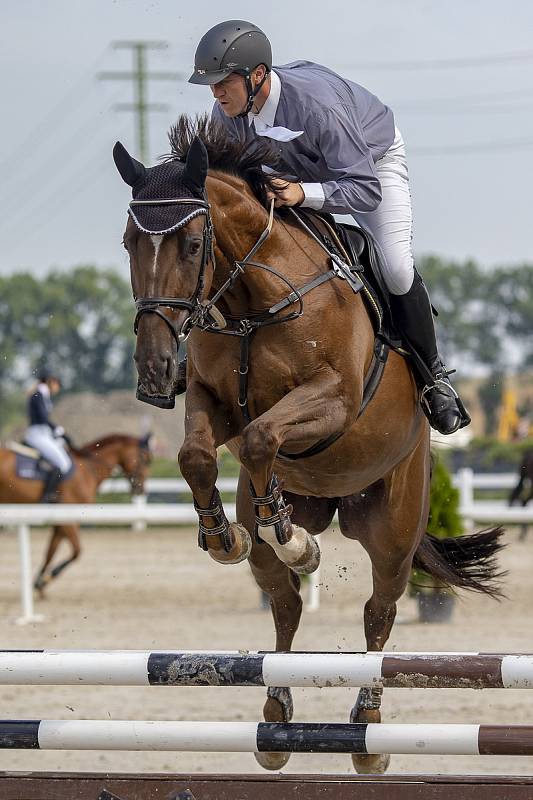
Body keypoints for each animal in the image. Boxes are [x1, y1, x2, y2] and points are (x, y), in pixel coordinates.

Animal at [0, 434, 152, 592]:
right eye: (145, 458)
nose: (141, 489)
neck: (87, 469)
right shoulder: (67, 520)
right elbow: (77, 551)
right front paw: (49, 577)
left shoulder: (60, 523)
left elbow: (50, 552)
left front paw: (40, 582)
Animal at [113, 119, 502, 776]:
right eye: (127, 243)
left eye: (191, 244)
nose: (154, 372)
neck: (253, 301)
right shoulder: (212, 402)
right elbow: (201, 454)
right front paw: (227, 536)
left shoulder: (334, 401)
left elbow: (262, 436)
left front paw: (289, 534)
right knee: (286, 605)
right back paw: (276, 709)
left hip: (393, 530)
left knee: (379, 614)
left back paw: (367, 726)